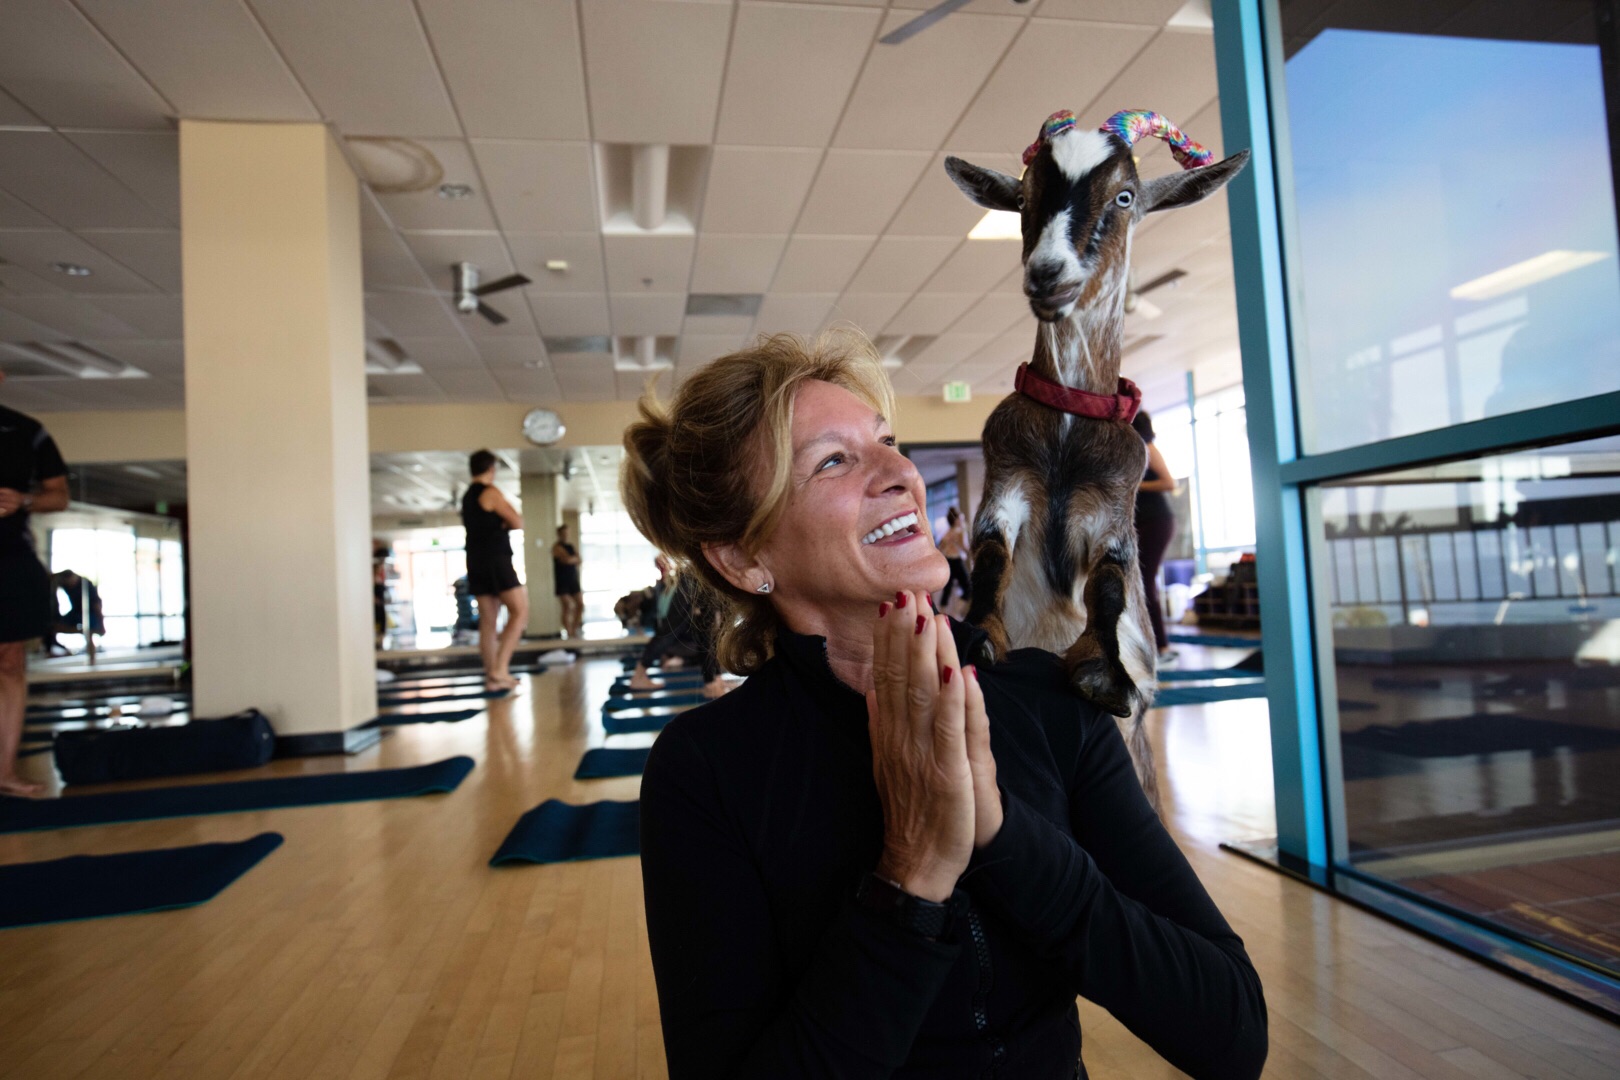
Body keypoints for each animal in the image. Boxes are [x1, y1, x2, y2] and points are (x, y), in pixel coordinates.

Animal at [946, 111, 1244, 803]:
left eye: (1125, 197)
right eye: (1024, 197)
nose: (1047, 273)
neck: (1067, 420)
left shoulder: (1112, 509)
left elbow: (1109, 583)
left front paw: (1103, 673)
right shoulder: (1005, 484)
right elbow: (990, 556)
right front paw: (978, 634)